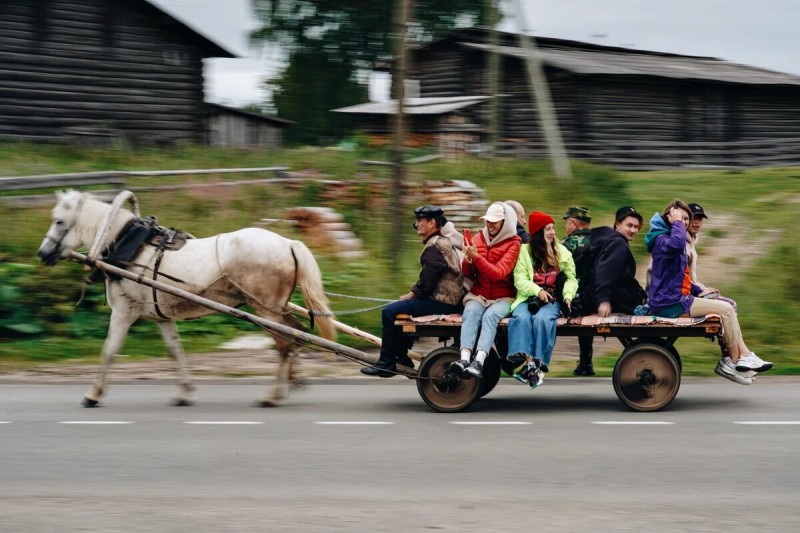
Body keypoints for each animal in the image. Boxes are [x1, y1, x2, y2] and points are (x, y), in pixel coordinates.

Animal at [36, 189, 336, 406]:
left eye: (59, 221)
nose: (42, 253)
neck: (128, 245)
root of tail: (288, 243)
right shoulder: (161, 316)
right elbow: (175, 350)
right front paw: (185, 393)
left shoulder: (123, 312)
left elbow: (110, 350)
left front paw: (93, 394)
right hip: (275, 308)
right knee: (296, 335)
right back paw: (291, 383)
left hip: (265, 309)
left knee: (286, 343)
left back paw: (272, 396)